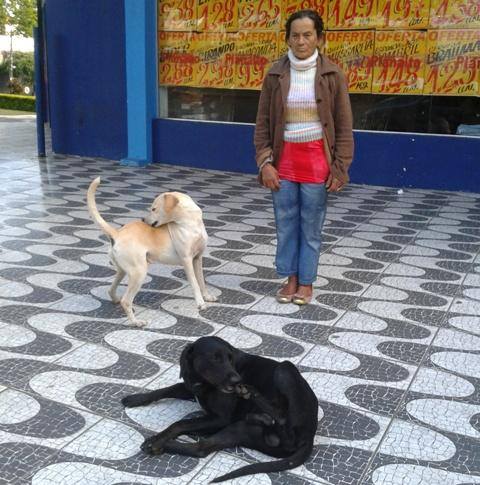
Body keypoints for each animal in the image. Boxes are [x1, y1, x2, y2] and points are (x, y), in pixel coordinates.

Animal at [86, 177, 216, 326]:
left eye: (154, 209)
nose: (143, 219)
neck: (190, 224)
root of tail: (117, 233)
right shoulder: (186, 259)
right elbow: (195, 283)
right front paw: (200, 303)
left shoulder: (197, 258)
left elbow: (201, 281)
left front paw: (206, 296)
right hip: (139, 272)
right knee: (126, 301)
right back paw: (136, 322)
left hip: (123, 271)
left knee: (111, 289)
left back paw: (116, 300)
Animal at [122, 336, 318, 480]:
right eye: (215, 358)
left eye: (231, 359)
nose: (237, 381)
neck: (203, 382)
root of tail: (310, 436)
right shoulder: (190, 388)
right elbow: (166, 389)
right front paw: (136, 398)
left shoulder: (220, 418)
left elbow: (180, 423)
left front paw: (157, 438)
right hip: (242, 430)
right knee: (201, 448)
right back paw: (259, 417)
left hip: (285, 368)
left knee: (282, 418)